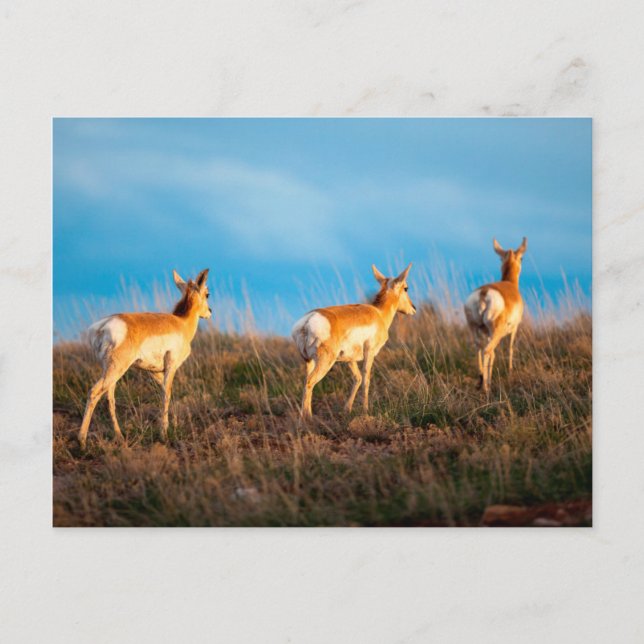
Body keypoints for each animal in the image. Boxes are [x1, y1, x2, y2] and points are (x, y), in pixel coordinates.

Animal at [78, 269, 212, 449]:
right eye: (207, 293)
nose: (210, 311)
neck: (181, 322)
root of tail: (101, 327)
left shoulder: (154, 372)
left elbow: (166, 392)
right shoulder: (171, 367)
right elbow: (166, 395)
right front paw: (164, 434)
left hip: (111, 372)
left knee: (109, 398)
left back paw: (120, 437)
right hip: (115, 370)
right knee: (94, 392)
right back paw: (82, 442)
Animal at [291, 264, 416, 419]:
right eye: (406, 288)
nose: (413, 308)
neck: (378, 313)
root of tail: (307, 322)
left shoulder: (350, 359)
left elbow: (357, 378)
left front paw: (347, 409)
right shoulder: (369, 353)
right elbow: (366, 378)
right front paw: (366, 411)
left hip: (309, 361)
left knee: (306, 381)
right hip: (325, 362)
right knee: (310, 382)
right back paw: (308, 419)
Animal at [464, 237, 527, 393]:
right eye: (521, 258)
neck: (510, 283)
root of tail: (484, 292)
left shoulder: (487, 334)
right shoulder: (514, 329)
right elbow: (510, 348)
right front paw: (510, 372)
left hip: (475, 329)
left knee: (479, 347)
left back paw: (481, 380)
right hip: (496, 332)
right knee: (487, 350)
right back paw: (486, 387)